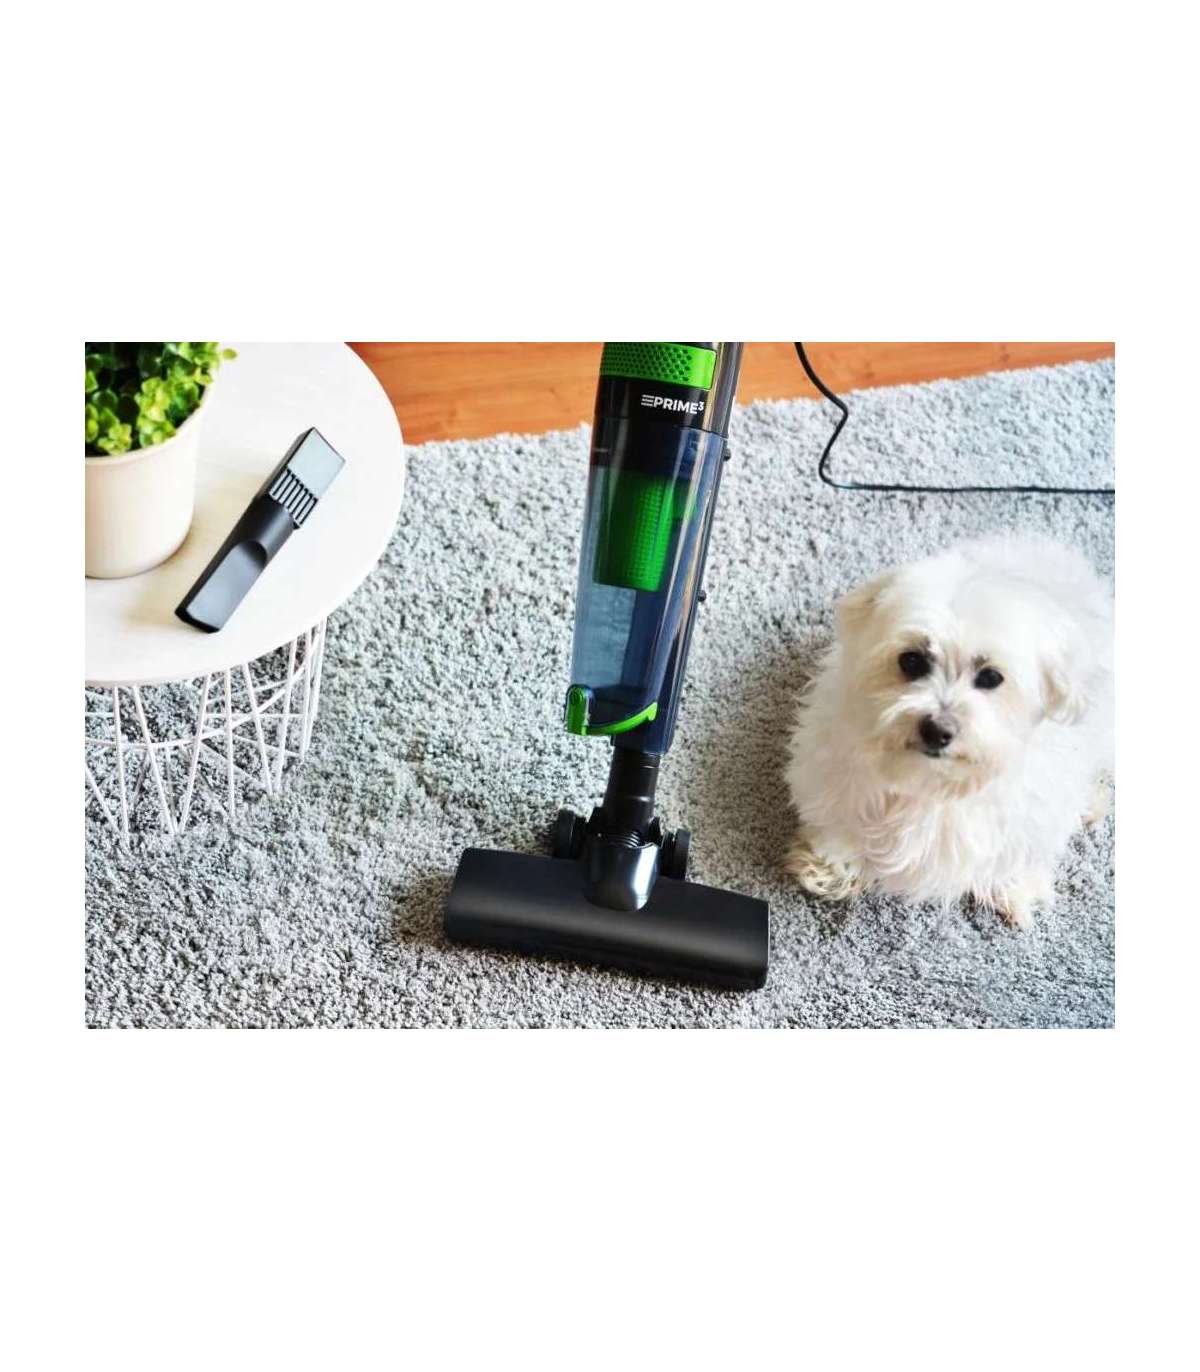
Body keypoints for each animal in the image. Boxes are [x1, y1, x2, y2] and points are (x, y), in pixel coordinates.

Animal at [784, 535, 1113, 928]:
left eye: (991, 677)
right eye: (911, 660)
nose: (936, 729)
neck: (932, 784)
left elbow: (1018, 852)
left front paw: (1014, 888)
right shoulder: (834, 776)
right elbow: (839, 827)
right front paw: (832, 868)